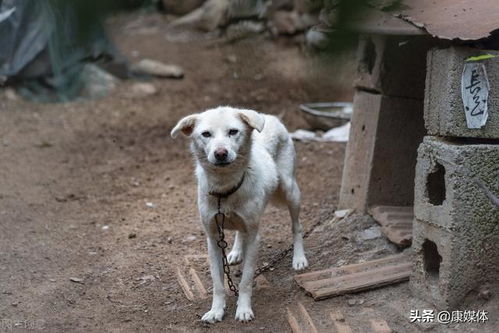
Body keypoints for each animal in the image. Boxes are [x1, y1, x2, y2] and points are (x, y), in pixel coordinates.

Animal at [172, 105, 308, 322]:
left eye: (233, 131)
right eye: (206, 134)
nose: (220, 153)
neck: (224, 189)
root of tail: (268, 116)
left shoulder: (254, 237)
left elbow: (245, 280)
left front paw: (244, 309)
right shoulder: (212, 238)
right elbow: (218, 284)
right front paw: (216, 310)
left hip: (291, 191)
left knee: (297, 226)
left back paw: (299, 258)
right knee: (239, 232)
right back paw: (236, 252)